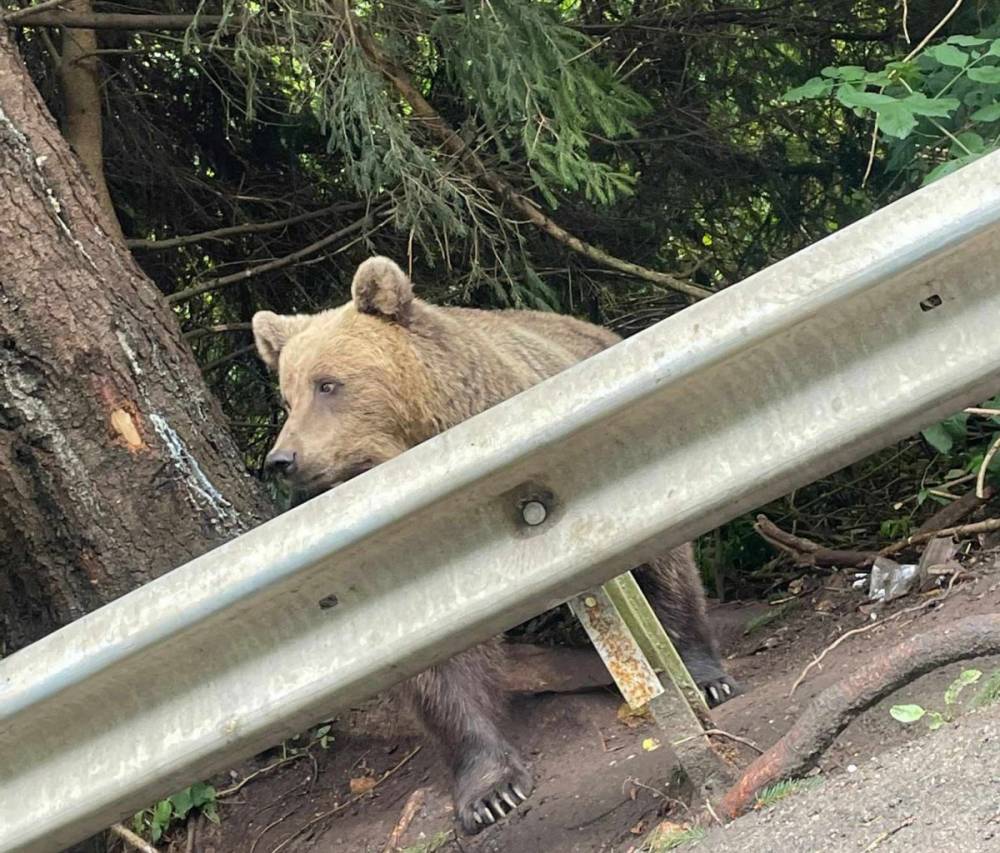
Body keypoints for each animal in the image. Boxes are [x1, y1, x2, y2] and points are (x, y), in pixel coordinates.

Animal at [254, 258, 740, 832]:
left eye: (328, 383)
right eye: (288, 397)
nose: (282, 459)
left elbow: (654, 556)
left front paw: (705, 675)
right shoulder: (408, 561)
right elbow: (438, 664)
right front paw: (491, 792)